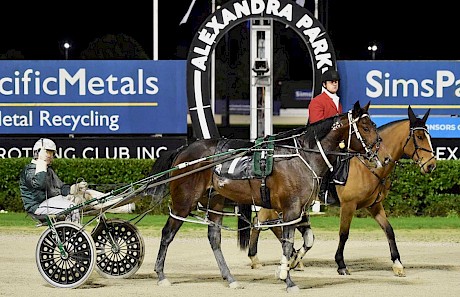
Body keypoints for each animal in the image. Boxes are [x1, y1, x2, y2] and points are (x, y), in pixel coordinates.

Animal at [146, 100, 380, 290]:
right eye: (365, 127)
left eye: (373, 125)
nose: (378, 151)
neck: (302, 156)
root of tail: (184, 150)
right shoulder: (290, 209)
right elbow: (287, 243)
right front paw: (287, 279)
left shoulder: (300, 210)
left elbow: (307, 240)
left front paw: (289, 266)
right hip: (184, 202)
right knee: (167, 233)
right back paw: (161, 275)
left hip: (215, 201)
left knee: (214, 238)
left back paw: (230, 278)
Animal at [246, 104, 436, 276]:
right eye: (419, 136)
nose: (431, 165)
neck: (367, 166)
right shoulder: (348, 205)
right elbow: (344, 234)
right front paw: (341, 264)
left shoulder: (375, 206)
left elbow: (389, 230)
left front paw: (397, 263)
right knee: (260, 222)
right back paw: (259, 258)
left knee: (264, 222)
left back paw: (289, 258)